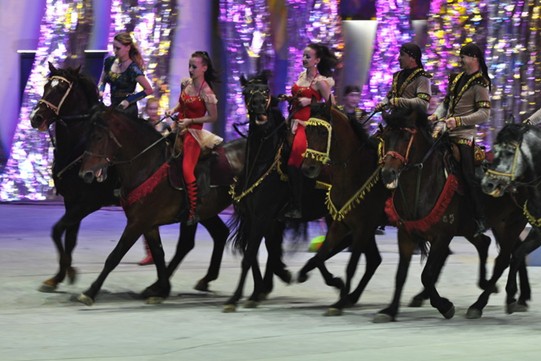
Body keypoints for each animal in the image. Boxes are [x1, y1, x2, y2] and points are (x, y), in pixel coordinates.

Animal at [300, 100, 388, 314]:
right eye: (307, 130)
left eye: (323, 132)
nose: (308, 169)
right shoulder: (342, 222)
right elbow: (320, 255)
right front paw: (337, 287)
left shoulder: (362, 227)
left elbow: (351, 265)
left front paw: (339, 301)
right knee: (374, 260)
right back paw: (353, 296)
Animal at [378, 107, 528, 320]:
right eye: (386, 137)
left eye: (406, 136)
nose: (388, 173)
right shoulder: (406, 234)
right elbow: (401, 274)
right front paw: (390, 311)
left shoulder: (442, 235)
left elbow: (427, 275)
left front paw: (444, 306)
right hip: (497, 224)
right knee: (496, 246)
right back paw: (512, 297)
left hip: (514, 222)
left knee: (505, 259)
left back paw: (482, 304)